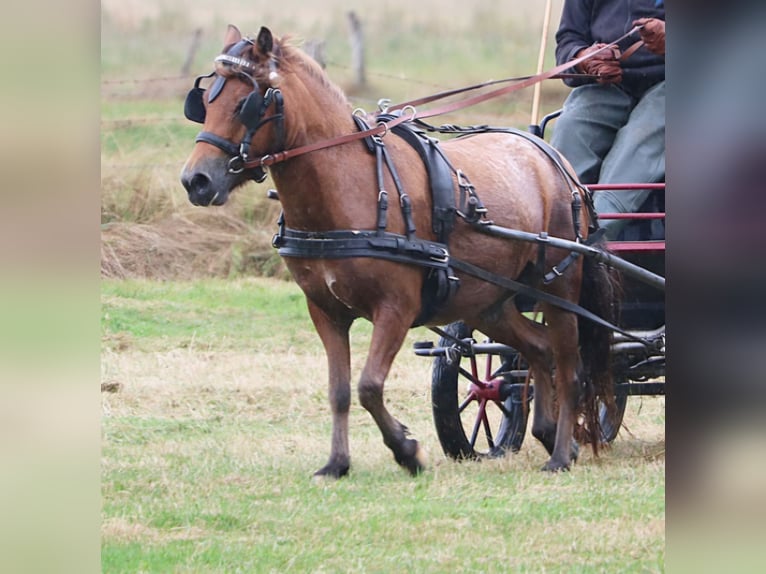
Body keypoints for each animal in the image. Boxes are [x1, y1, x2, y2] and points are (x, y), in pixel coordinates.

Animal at [183, 25, 620, 476]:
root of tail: (555, 162)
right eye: (204, 102)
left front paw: (407, 450)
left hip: (559, 286)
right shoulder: (325, 311)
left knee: (570, 366)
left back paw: (560, 454)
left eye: (245, 104)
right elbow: (340, 390)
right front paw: (337, 463)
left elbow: (369, 386)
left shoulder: (395, 308)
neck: (348, 187)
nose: (195, 180)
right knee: (539, 349)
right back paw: (550, 434)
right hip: (488, 302)